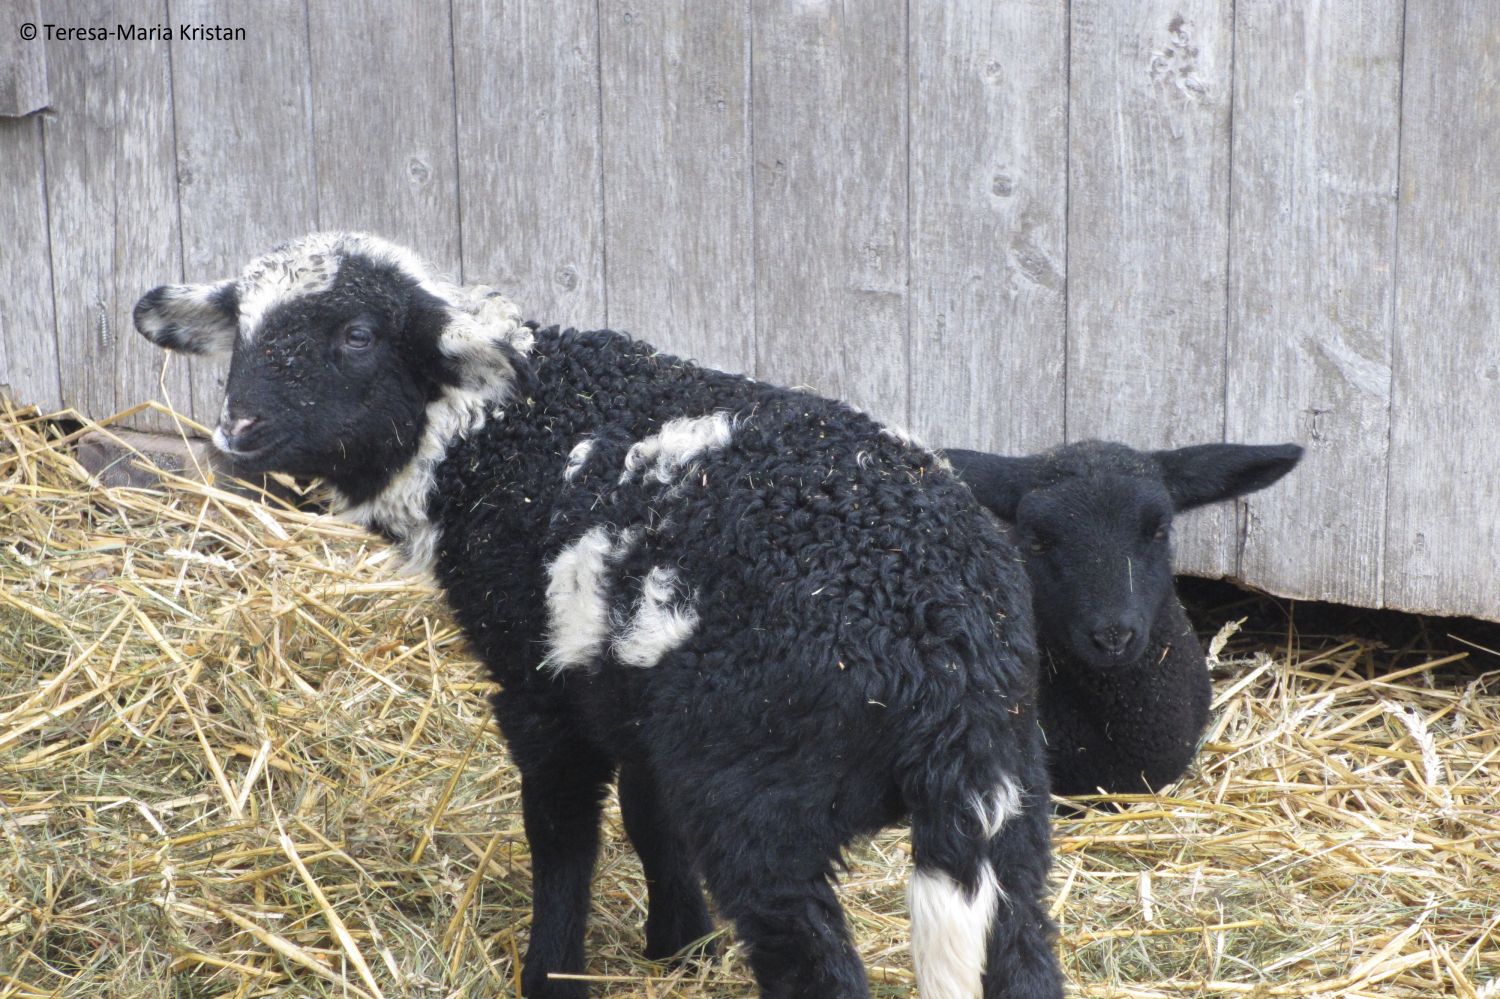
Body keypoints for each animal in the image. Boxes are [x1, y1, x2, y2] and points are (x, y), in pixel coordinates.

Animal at [132, 234, 1068, 996]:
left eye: (357, 336)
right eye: (243, 331)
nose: (238, 429)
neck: (495, 436)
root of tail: (943, 641)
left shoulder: (540, 682)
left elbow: (562, 836)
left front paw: (552, 975)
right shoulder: (632, 690)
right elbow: (650, 819)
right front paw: (679, 946)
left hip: (760, 791)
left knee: (817, 968)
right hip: (1011, 793)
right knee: (1021, 951)